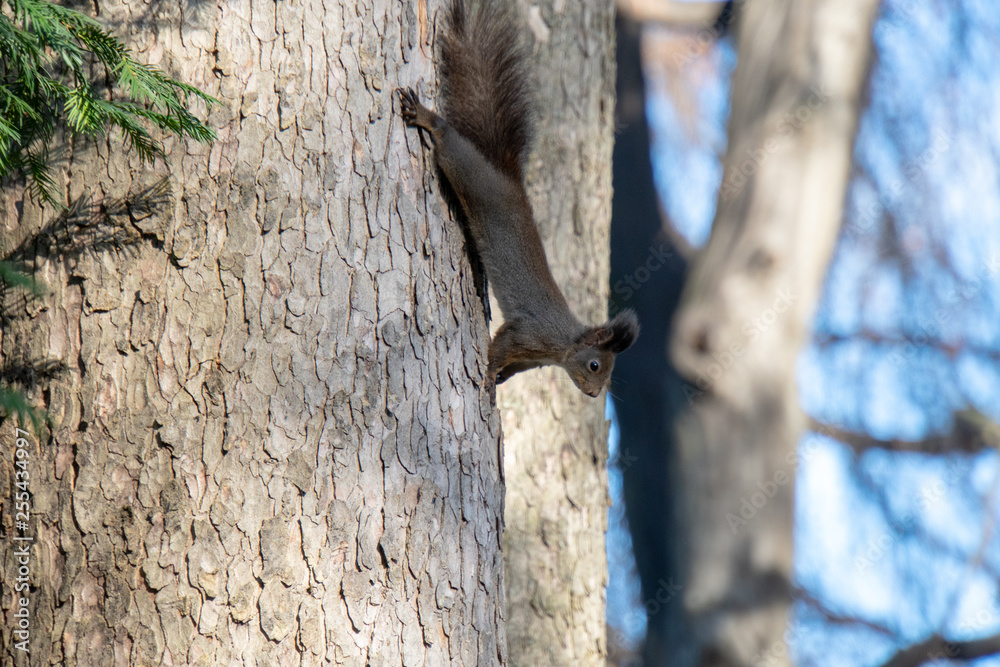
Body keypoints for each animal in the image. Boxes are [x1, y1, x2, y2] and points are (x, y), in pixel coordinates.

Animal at [397, 0, 638, 397]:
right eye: (594, 365)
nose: (593, 393)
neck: (561, 346)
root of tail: (509, 180)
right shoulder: (526, 334)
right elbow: (500, 347)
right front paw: (487, 376)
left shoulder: (528, 359)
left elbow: (510, 367)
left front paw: (497, 379)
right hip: (472, 177)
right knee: (449, 143)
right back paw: (427, 119)